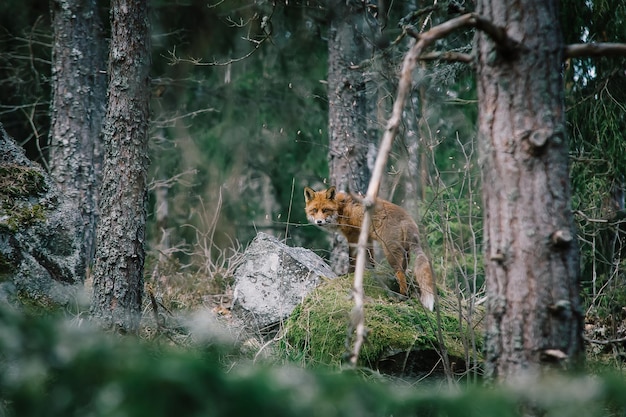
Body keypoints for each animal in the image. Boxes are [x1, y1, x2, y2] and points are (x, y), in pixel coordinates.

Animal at [304, 185, 434, 308]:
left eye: (325, 210)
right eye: (314, 210)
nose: (319, 222)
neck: (342, 208)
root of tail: (408, 220)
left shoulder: (353, 235)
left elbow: (352, 259)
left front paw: (348, 274)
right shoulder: (368, 238)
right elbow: (371, 259)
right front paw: (371, 271)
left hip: (390, 251)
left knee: (400, 272)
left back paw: (403, 296)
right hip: (405, 251)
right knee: (404, 268)